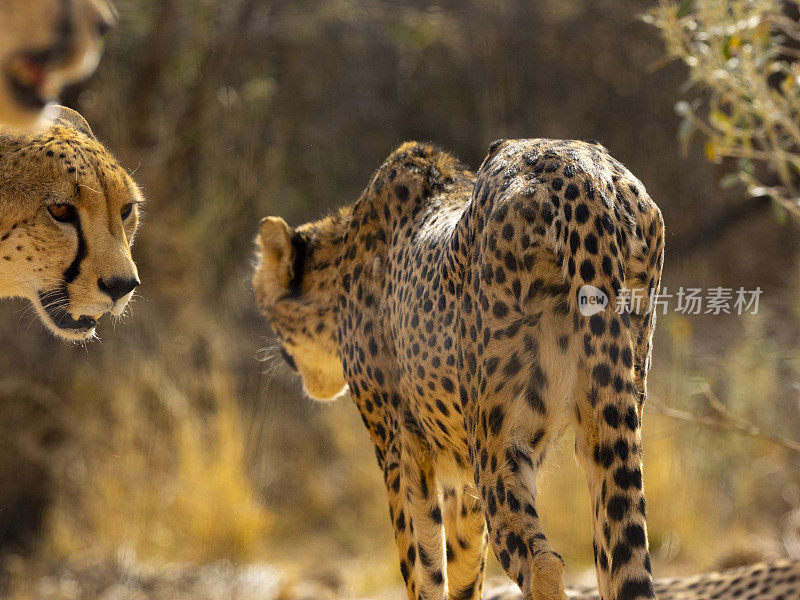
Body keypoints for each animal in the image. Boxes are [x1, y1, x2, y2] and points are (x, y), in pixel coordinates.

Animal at [255, 137, 664, 600]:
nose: (281, 355)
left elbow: (421, 565)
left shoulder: (398, 446)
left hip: (498, 441)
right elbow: (463, 567)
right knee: (620, 562)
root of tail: (585, 180)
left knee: (542, 563)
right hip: (607, 430)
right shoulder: (457, 475)